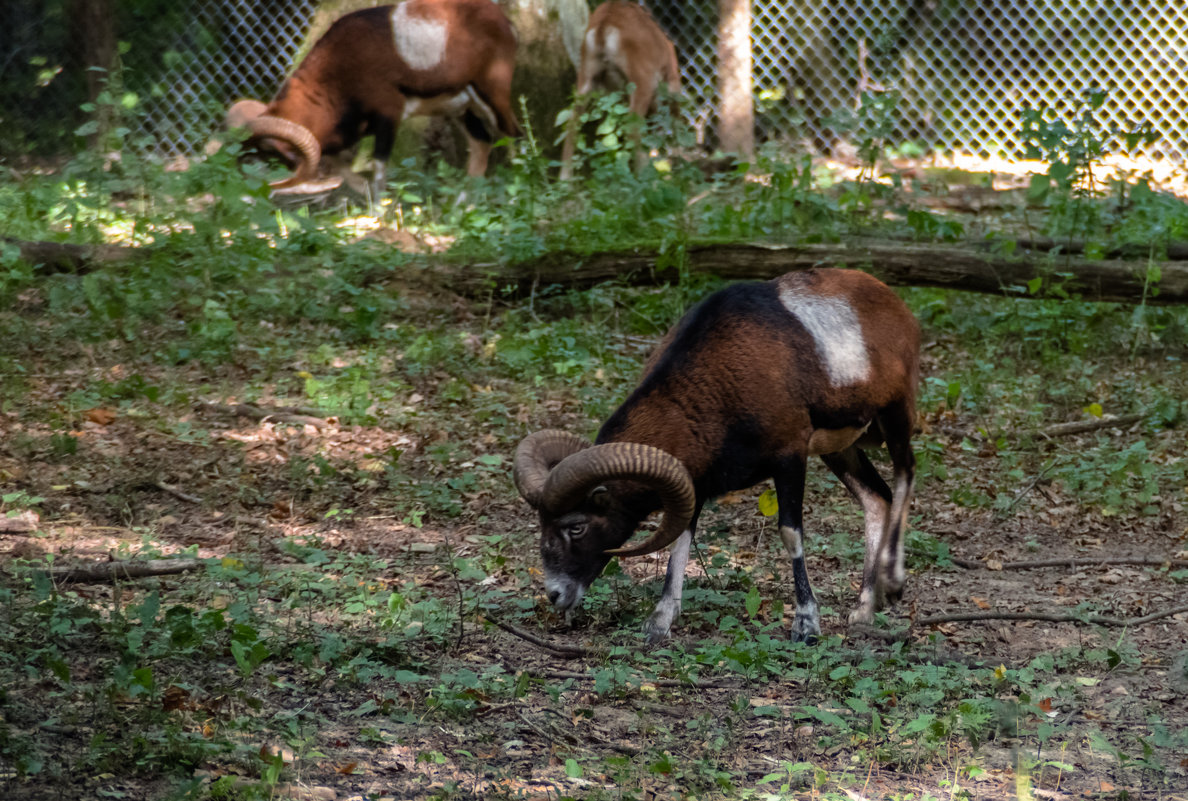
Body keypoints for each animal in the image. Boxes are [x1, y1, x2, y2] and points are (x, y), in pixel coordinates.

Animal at [515, 268, 921, 641]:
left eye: (577, 526)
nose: (555, 594)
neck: (720, 382)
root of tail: (893, 303)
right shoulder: (692, 483)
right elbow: (681, 542)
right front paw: (659, 622)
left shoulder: (790, 457)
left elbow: (790, 533)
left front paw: (806, 624)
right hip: (841, 449)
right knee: (876, 499)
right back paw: (864, 612)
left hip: (895, 417)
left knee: (905, 476)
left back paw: (894, 584)